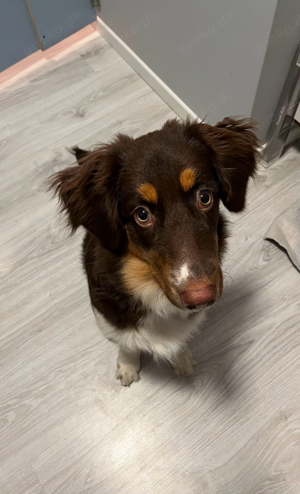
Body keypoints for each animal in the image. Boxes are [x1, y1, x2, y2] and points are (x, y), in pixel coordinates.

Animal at [49, 117, 258, 384]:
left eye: (205, 197)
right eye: (142, 214)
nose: (200, 297)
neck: (149, 286)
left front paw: (180, 357)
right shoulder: (108, 314)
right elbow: (126, 342)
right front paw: (128, 366)